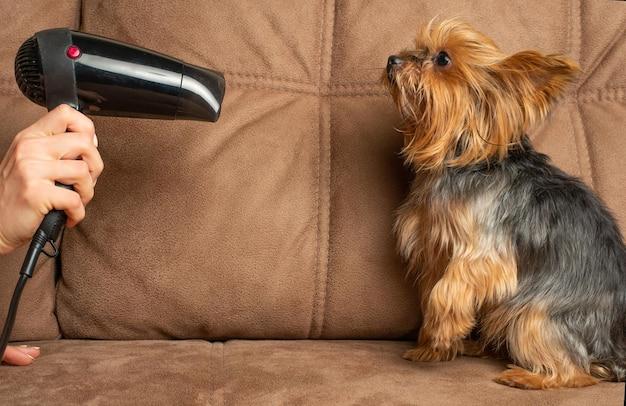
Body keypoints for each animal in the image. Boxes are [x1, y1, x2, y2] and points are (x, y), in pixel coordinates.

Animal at [382, 19, 620, 390]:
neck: (464, 156)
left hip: (535, 314)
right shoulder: (435, 247)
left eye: (443, 59)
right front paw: (432, 347)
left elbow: (446, 291)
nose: (392, 60)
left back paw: (527, 377)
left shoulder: (485, 254)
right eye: (419, 48)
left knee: (576, 372)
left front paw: (441, 332)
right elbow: (433, 290)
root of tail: (610, 349)